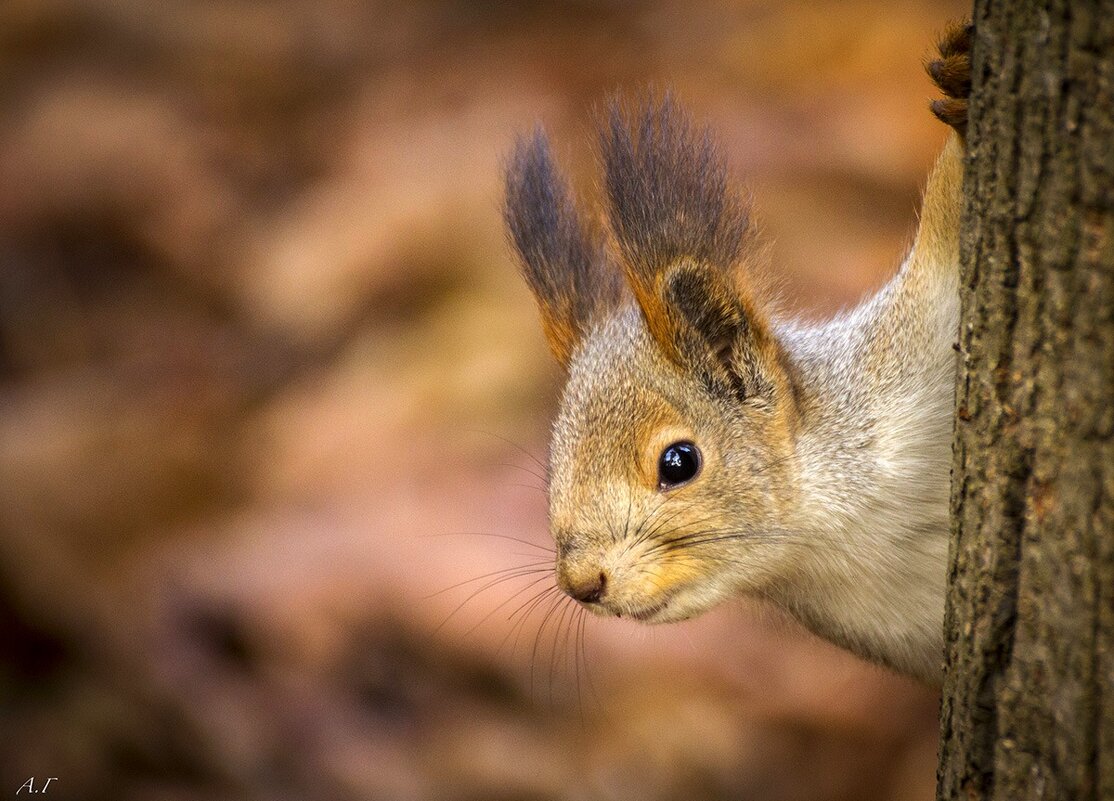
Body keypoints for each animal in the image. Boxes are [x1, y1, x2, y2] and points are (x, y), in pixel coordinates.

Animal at [501, 23, 971, 681]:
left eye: (679, 462)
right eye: (551, 468)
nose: (581, 583)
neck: (828, 543)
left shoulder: (910, 339)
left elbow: (944, 223)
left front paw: (962, 85)